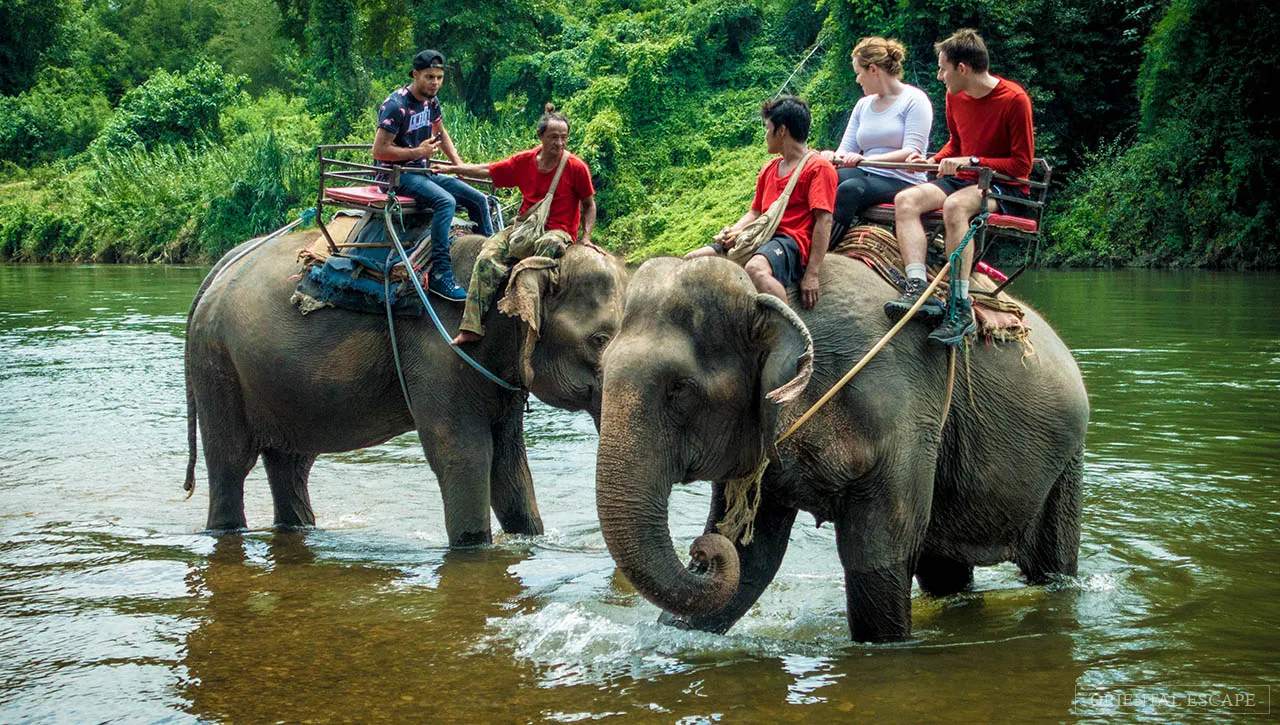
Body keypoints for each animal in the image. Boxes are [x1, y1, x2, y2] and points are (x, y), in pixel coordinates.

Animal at [186, 221, 627, 545]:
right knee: (231, 462)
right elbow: (463, 453)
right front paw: (473, 546)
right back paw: (225, 529)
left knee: (290, 463)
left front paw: (529, 537)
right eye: (599, 340)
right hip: (218, 365)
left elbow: (509, 462)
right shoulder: (442, 349)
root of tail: (220, 269)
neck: (508, 261)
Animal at [593, 254, 1085, 643]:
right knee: (944, 573)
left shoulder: (901, 414)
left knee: (1050, 566)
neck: (769, 297)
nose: (700, 551)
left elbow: (877, 557)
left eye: (680, 389)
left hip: (1066, 460)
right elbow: (751, 559)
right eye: (600, 367)